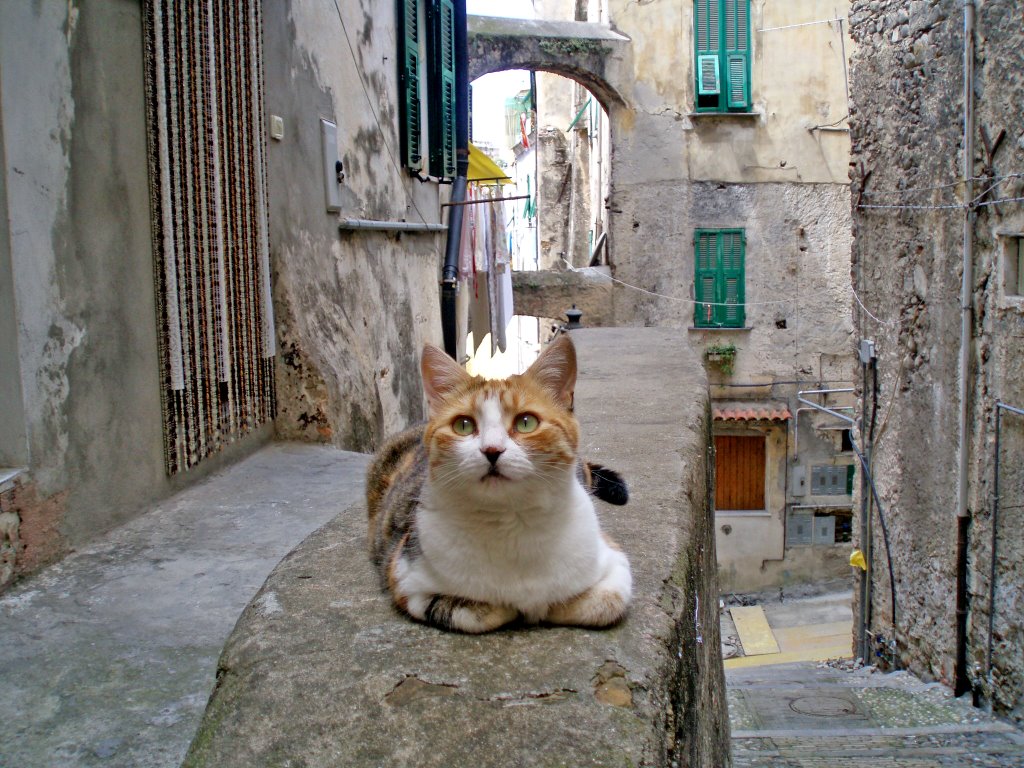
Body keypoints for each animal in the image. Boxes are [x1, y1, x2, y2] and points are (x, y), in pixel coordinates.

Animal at [364, 333, 626, 634]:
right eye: (463, 425)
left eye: (526, 422)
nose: (491, 450)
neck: (510, 520)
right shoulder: (405, 576)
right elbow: (475, 612)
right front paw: (515, 607)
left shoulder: (614, 564)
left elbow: (601, 605)